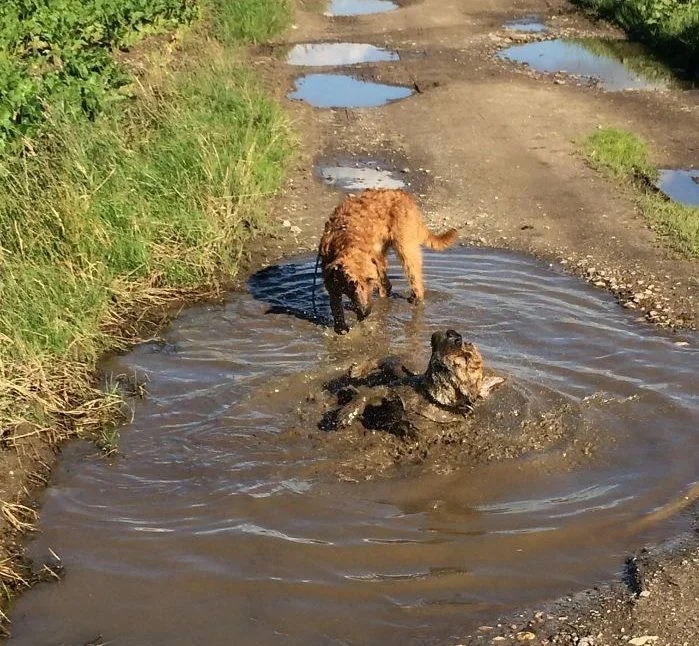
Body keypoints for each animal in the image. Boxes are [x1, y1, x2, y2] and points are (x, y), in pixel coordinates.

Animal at [318, 189, 460, 334]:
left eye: (370, 280)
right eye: (351, 283)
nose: (364, 313)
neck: (347, 239)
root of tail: (402, 193)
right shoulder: (331, 282)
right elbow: (336, 307)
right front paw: (341, 328)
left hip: (405, 248)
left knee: (415, 281)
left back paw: (415, 299)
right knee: (387, 285)